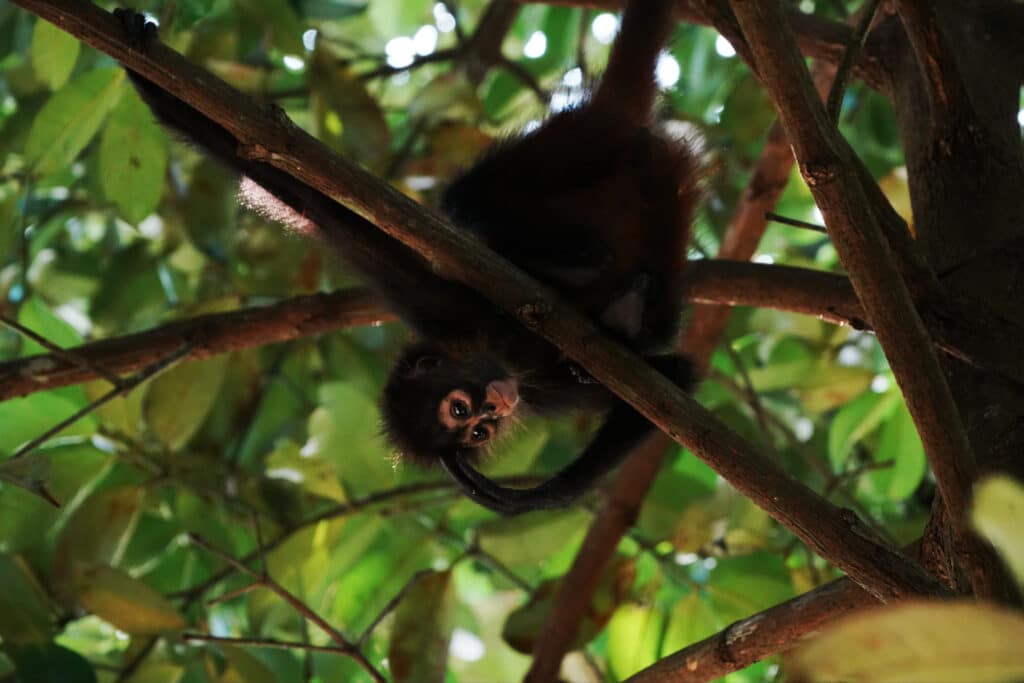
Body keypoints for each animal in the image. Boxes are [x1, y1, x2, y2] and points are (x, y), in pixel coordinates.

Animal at [113, 0, 699, 515]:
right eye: (471, 425)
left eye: (465, 410)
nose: (496, 405)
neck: (503, 345)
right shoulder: (536, 383)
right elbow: (676, 379)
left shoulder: (438, 305)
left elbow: (288, 184)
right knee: (653, 307)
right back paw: (627, 304)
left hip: (571, 144)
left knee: (467, 200)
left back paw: (569, 262)